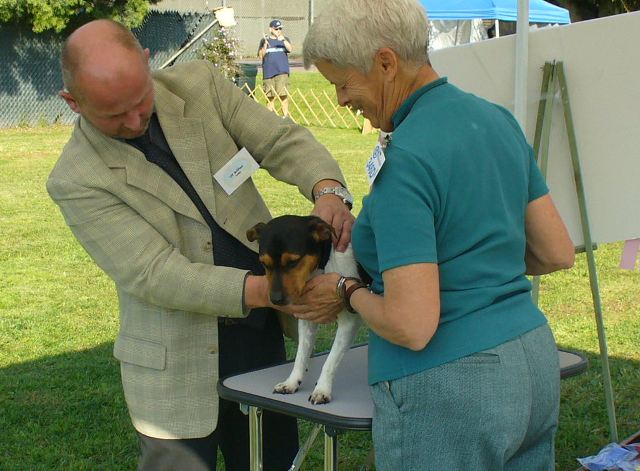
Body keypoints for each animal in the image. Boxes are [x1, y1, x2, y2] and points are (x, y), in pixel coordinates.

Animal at [248, 216, 362, 404]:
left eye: (293, 261)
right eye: (264, 263)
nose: (276, 299)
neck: (325, 266)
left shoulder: (349, 323)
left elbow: (330, 360)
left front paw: (322, 389)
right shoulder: (307, 321)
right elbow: (301, 355)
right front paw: (292, 382)